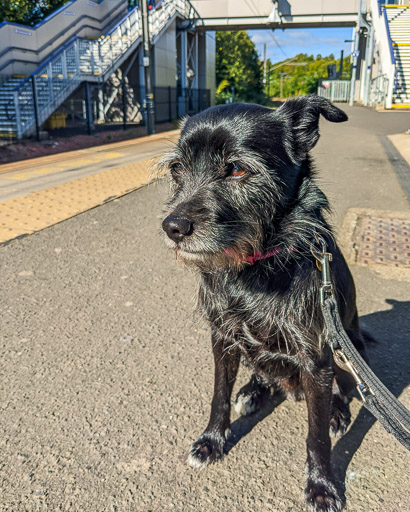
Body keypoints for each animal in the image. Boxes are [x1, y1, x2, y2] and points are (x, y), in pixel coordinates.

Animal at [159, 95, 370, 508]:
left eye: (238, 169)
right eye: (178, 168)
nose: (173, 227)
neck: (257, 266)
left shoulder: (316, 356)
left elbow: (316, 435)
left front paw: (322, 485)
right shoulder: (223, 339)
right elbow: (219, 395)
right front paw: (212, 440)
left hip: (347, 350)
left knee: (344, 388)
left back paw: (337, 412)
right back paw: (253, 390)